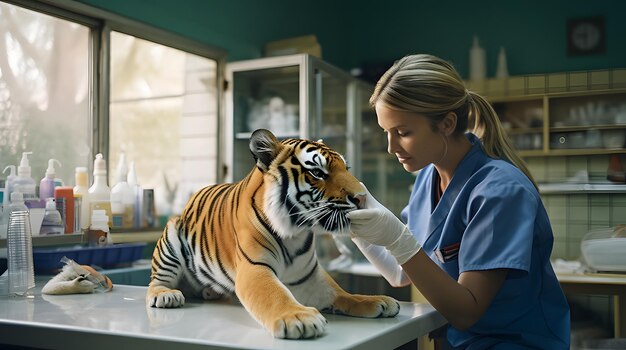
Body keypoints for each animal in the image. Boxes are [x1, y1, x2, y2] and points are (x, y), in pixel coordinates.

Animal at [147, 129, 394, 340]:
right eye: (317, 172)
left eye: (346, 169)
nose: (362, 197)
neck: (296, 233)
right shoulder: (255, 268)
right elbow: (275, 294)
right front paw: (299, 317)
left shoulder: (310, 276)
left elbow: (341, 293)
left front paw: (376, 301)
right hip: (170, 239)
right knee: (156, 281)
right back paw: (166, 295)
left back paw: (210, 292)